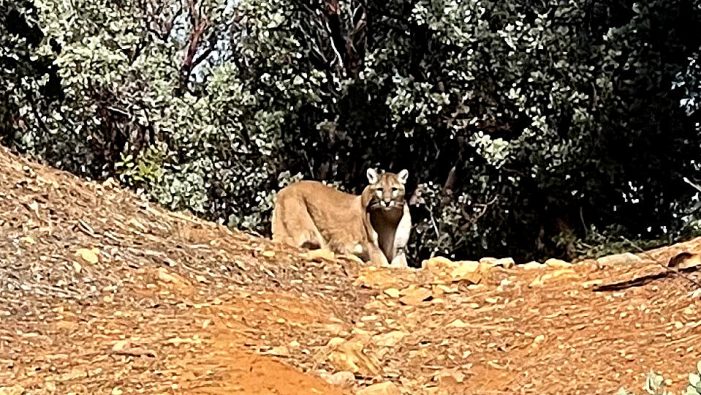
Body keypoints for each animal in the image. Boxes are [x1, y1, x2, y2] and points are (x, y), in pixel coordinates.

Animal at [270, 169, 410, 268]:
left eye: (394, 189)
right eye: (380, 189)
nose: (387, 202)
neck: (390, 219)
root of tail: (282, 191)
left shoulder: (399, 250)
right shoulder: (373, 246)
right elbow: (385, 264)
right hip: (297, 232)